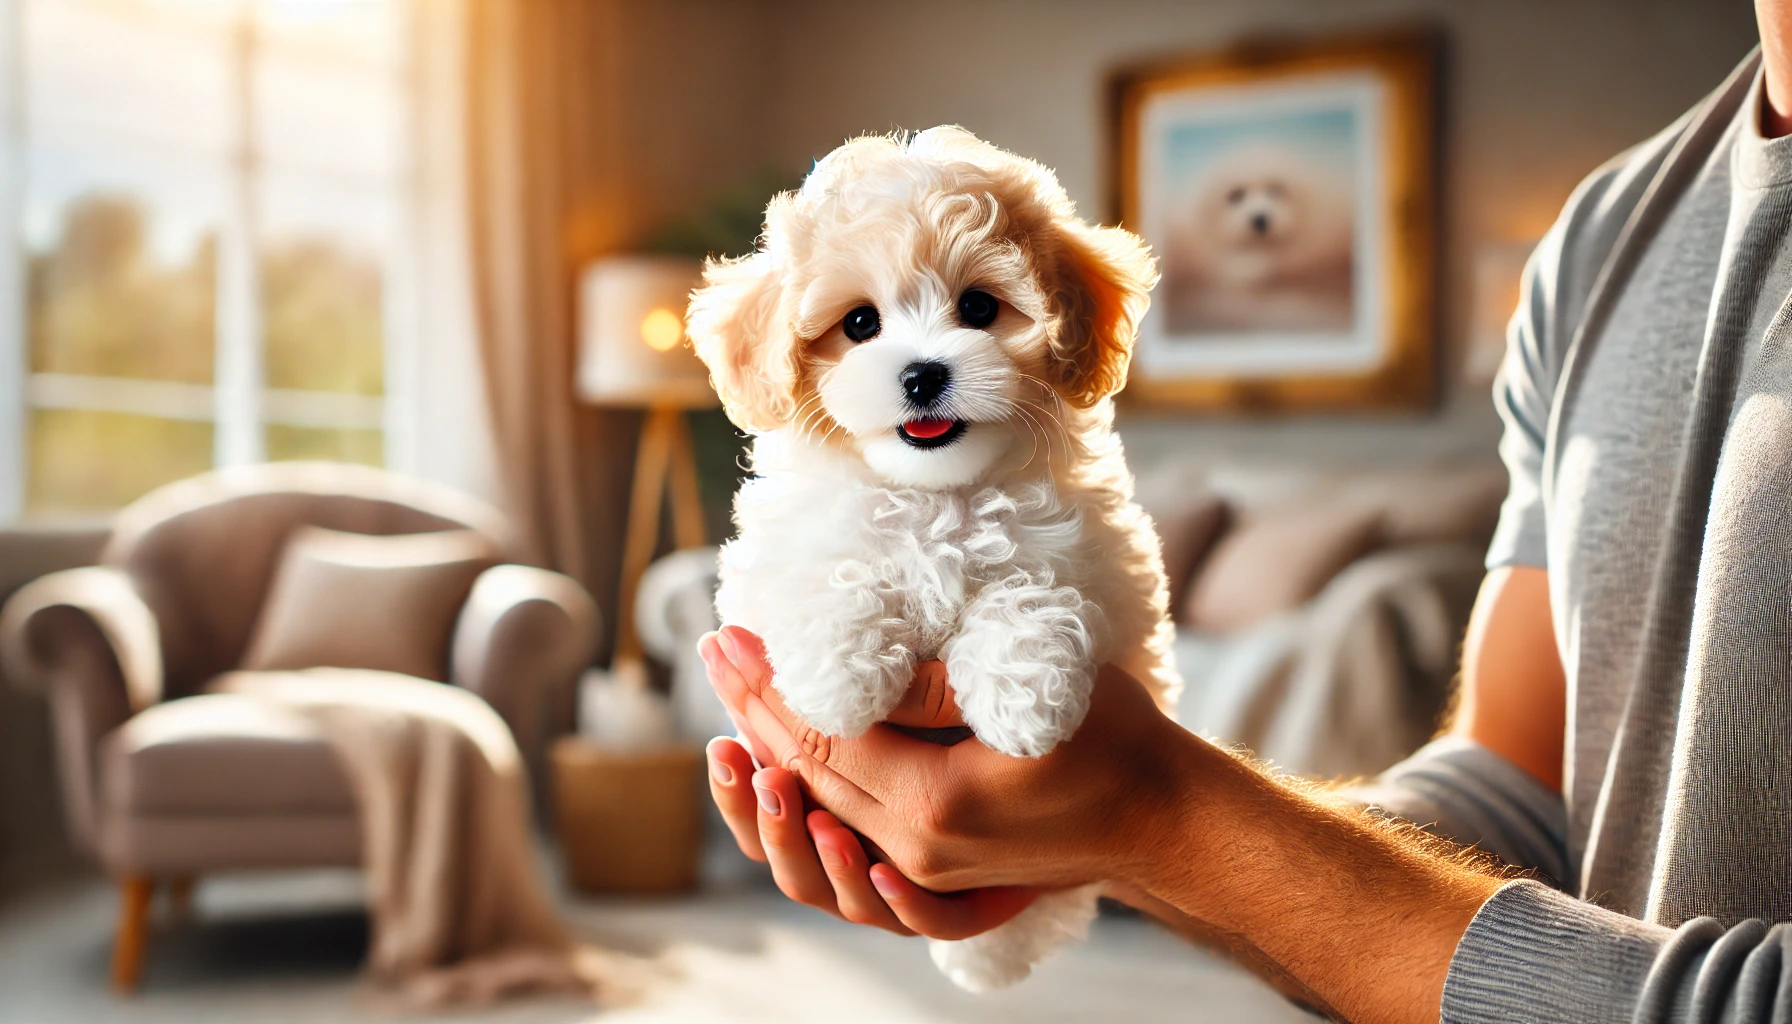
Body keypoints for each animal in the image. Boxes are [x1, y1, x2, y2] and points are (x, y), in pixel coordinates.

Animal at [680, 124, 1175, 989]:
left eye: (978, 307)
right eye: (858, 324)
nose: (922, 376)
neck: (936, 493)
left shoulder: (1099, 564)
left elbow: (1035, 591)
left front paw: (1024, 705)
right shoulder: (776, 559)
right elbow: (825, 573)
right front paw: (842, 682)